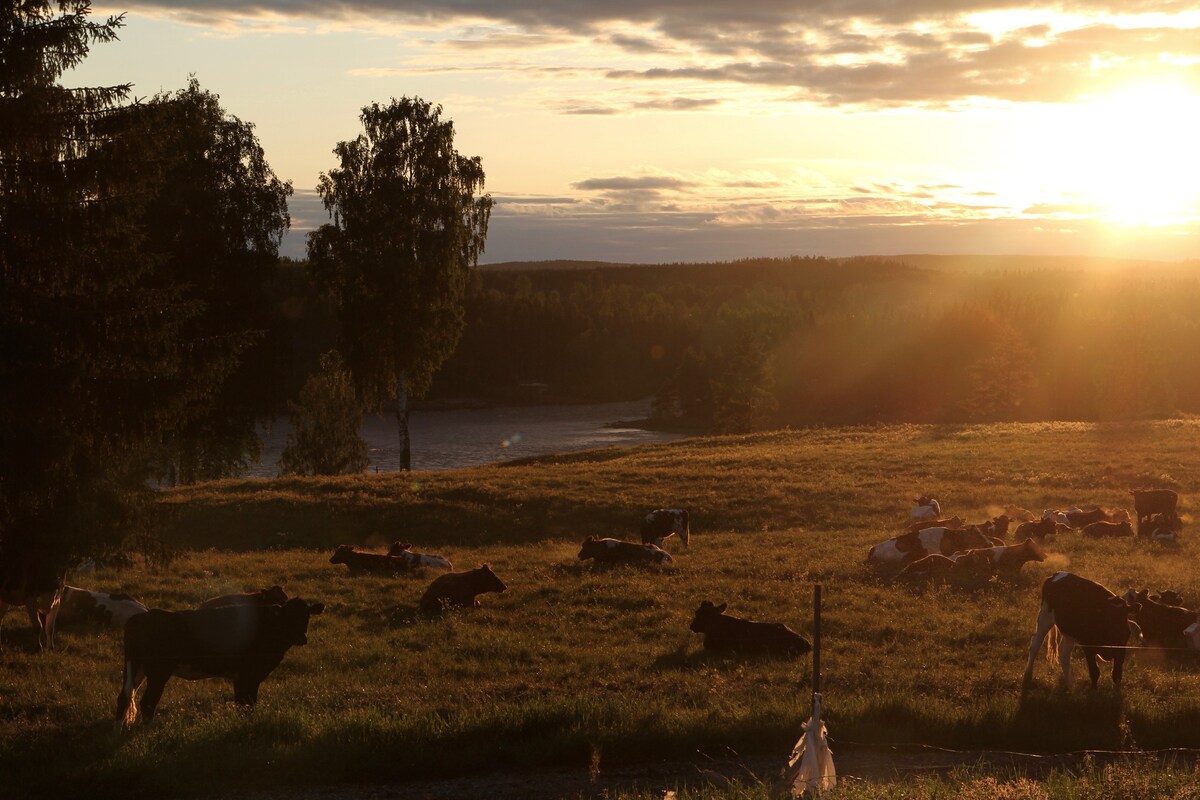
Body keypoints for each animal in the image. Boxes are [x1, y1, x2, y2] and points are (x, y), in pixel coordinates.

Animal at [116, 597, 324, 724]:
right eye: (288, 617)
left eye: (306, 616)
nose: (302, 638)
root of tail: (140, 617)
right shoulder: (249, 674)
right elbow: (248, 702)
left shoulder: (240, 676)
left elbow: (242, 703)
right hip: (158, 671)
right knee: (147, 702)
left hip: (136, 667)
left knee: (124, 698)